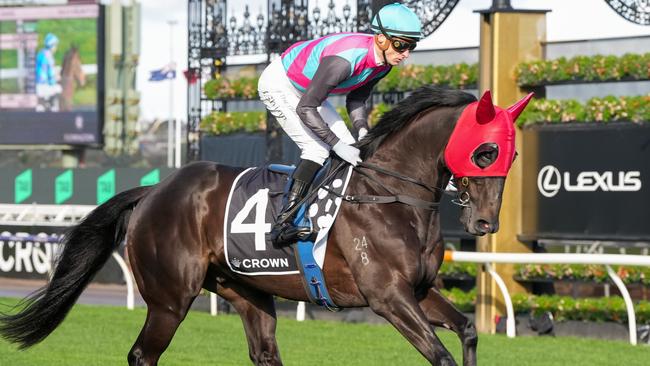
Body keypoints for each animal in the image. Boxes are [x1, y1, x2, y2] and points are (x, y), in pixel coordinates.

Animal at [0, 85, 528, 364]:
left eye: (513, 154)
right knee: (142, 355)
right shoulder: (387, 297)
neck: (390, 195)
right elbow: (440, 354)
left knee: (264, 353)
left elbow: (468, 331)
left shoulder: (417, 290)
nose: (484, 222)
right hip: (169, 300)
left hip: (248, 291)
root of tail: (154, 189)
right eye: (485, 151)